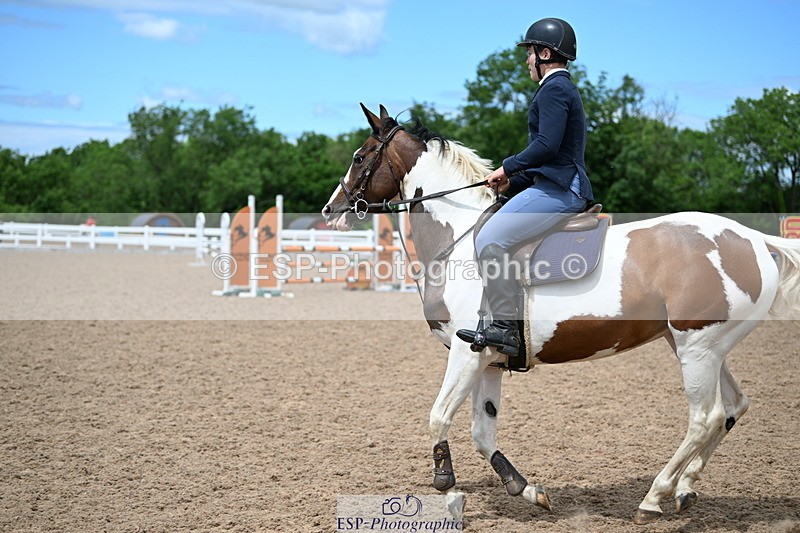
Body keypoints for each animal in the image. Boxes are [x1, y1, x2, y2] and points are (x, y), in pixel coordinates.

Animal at [321, 104, 800, 524]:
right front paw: (527, 490)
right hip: (703, 347)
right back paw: (684, 489)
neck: (457, 239)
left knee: (705, 419)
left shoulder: (467, 353)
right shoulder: (489, 360)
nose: (331, 210)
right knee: (733, 407)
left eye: (360, 156)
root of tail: (753, 239)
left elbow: (438, 416)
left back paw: (654, 497)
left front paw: (447, 487)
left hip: (697, 348)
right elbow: (482, 433)